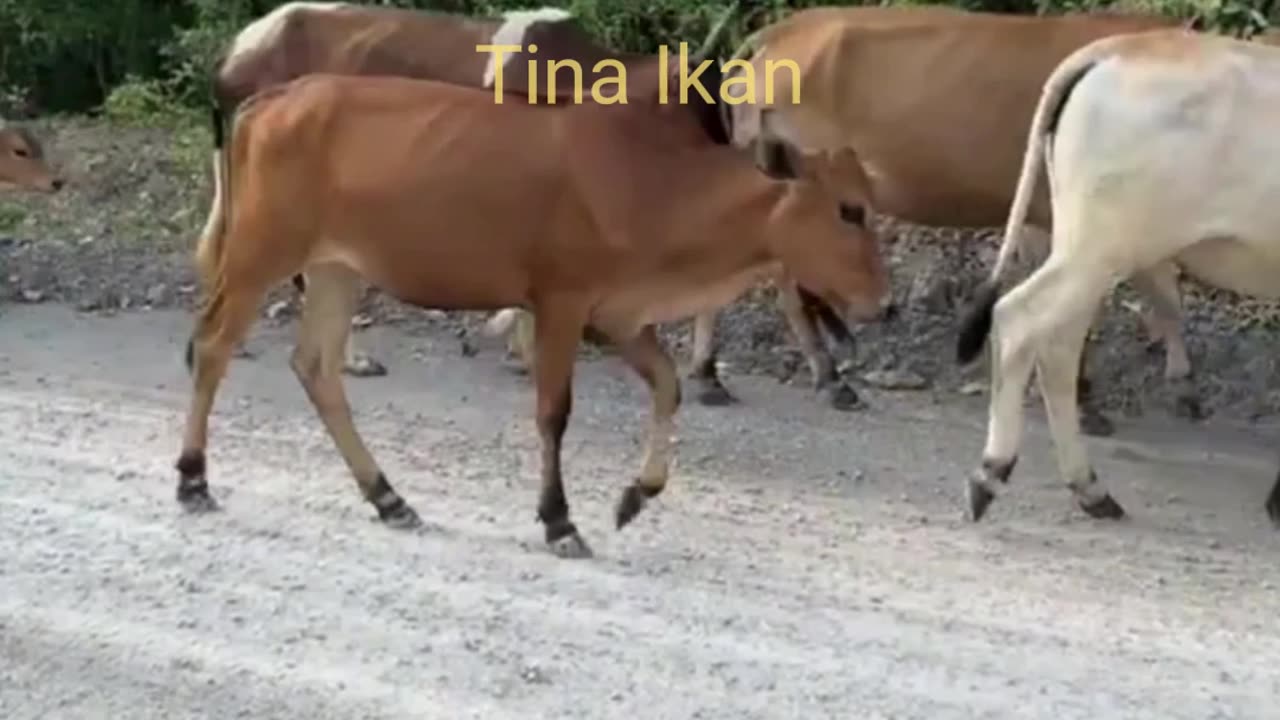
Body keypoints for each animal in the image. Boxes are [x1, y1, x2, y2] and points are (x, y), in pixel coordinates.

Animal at [170, 63, 890, 556]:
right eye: (849, 209)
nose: (883, 304)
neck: (656, 188)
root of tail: (268, 100)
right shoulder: (562, 304)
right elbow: (553, 412)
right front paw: (560, 521)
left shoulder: (620, 317)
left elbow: (668, 386)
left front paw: (635, 496)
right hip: (261, 252)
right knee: (212, 346)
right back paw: (193, 481)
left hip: (336, 271)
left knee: (316, 368)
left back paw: (389, 497)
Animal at [721, 5, 1208, 435]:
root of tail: (775, 36)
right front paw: (1089, 401)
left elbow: (1160, 293)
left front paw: (1182, 387)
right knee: (792, 287)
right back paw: (828, 378)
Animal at [957, 28, 1280, 527]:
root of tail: (1115, 48)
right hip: (1097, 251)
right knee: (1018, 319)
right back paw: (991, 473)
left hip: (1085, 252)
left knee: (1058, 346)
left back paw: (1089, 489)